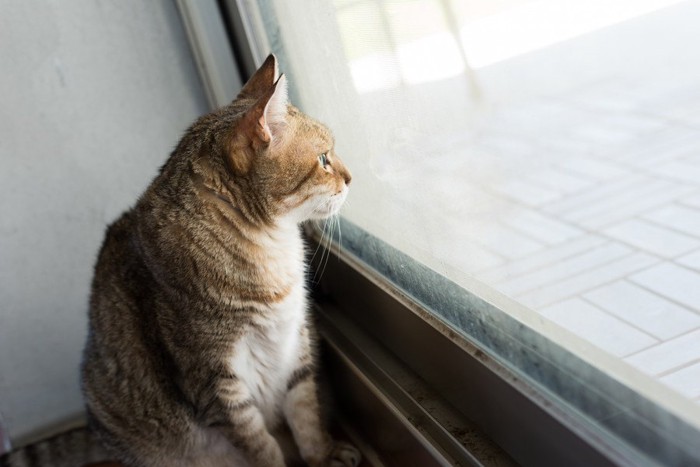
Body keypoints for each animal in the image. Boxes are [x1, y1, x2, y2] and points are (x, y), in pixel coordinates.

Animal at [79, 55, 358, 467]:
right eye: (324, 158)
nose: (351, 178)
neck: (272, 250)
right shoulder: (217, 386)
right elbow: (262, 448)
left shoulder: (295, 342)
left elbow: (306, 415)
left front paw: (322, 456)